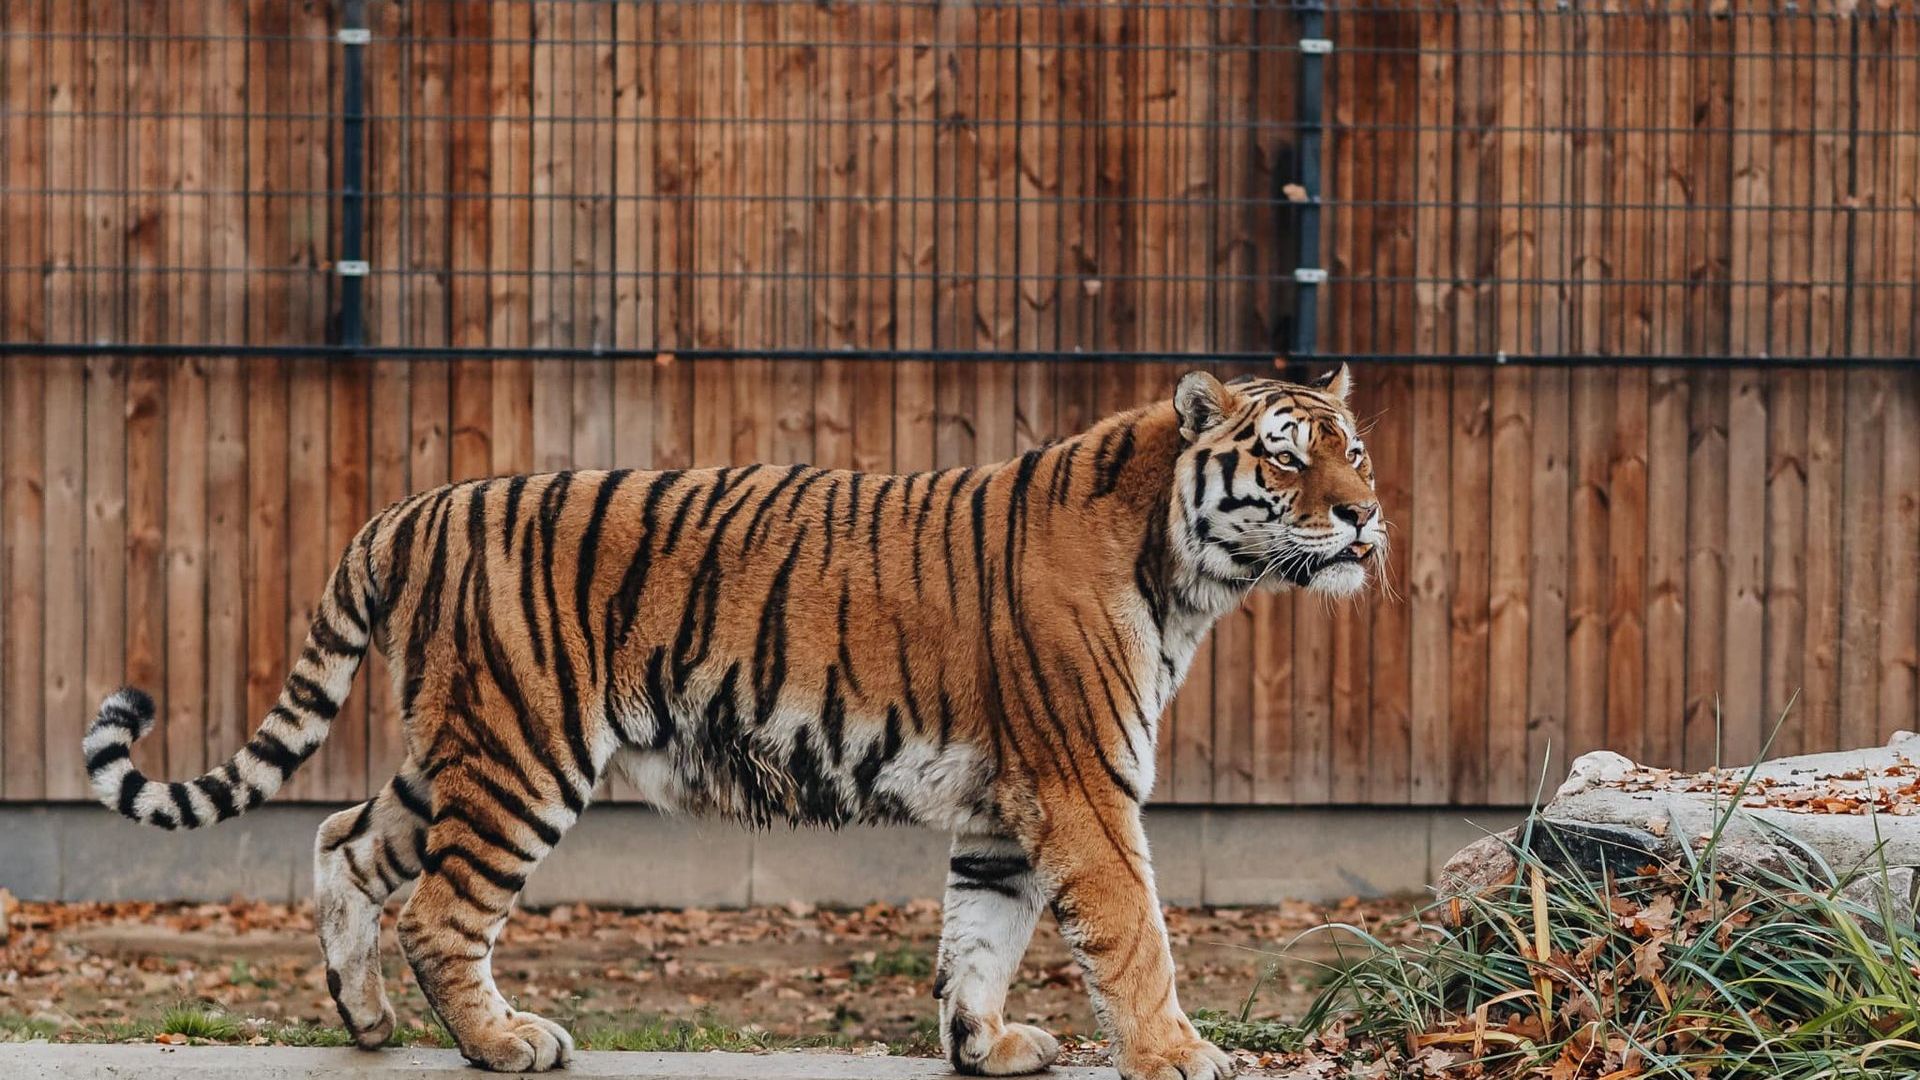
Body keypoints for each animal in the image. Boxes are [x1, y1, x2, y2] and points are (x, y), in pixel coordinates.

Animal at [86, 363, 1382, 1076]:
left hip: (450, 747)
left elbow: (980, 932)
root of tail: (409, 509)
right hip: (522, 754)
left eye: (1354, 448)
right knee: (443, 911)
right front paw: (1181, 1054)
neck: (1191, 573)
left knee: (343, 840)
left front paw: (984, 1047)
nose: (1368, 517)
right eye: (1285, 459)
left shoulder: (1004, 801)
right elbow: (1134, 931)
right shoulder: (1082, 786)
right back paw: (506, 1043)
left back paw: (364, 1023)